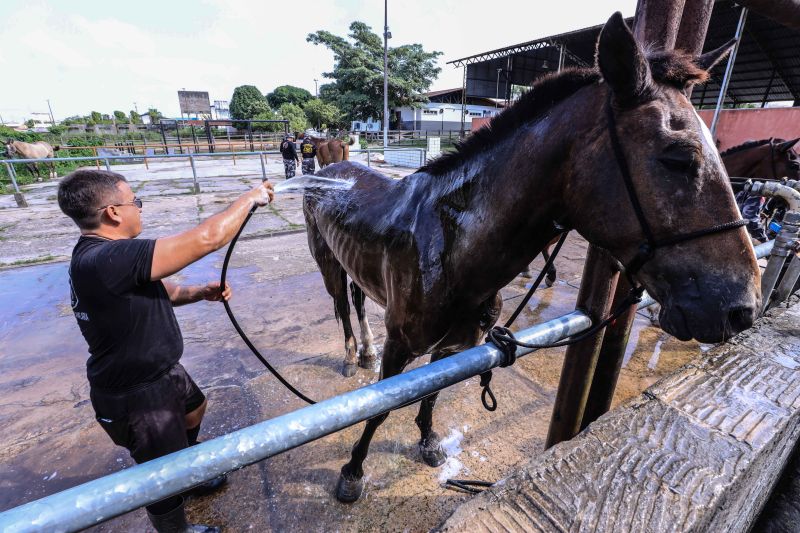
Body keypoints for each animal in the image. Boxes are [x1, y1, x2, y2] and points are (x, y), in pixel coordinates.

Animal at [304, 13, 760, 502]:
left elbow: (431, 397)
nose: (741, 307)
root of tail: (330, 166)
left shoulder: (455, 348)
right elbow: (380, 411)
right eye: (678, 157)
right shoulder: (401, 348)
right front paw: (353, 472)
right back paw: (350, 357)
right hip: (327, 264)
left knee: (356, 300)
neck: (448, 245)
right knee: (341, 306)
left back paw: (364, 351)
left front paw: (427, 441)